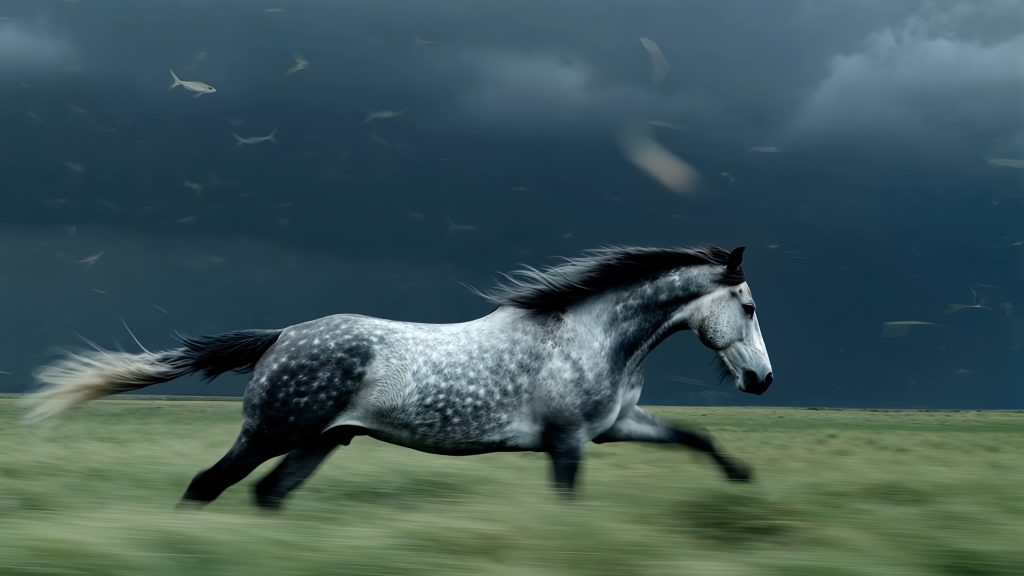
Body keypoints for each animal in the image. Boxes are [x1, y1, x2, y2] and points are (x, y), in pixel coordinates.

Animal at [26, 245, 773, 509]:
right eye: (748, 306)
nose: (762, 381)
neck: (591, 337)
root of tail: (280, 336)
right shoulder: (567, 443)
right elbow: (568, 503)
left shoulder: (615, 427)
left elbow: (697, 438)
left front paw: (743, 480)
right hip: (271, 432)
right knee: (206, 486)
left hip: (319, 441)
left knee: (267, 495)